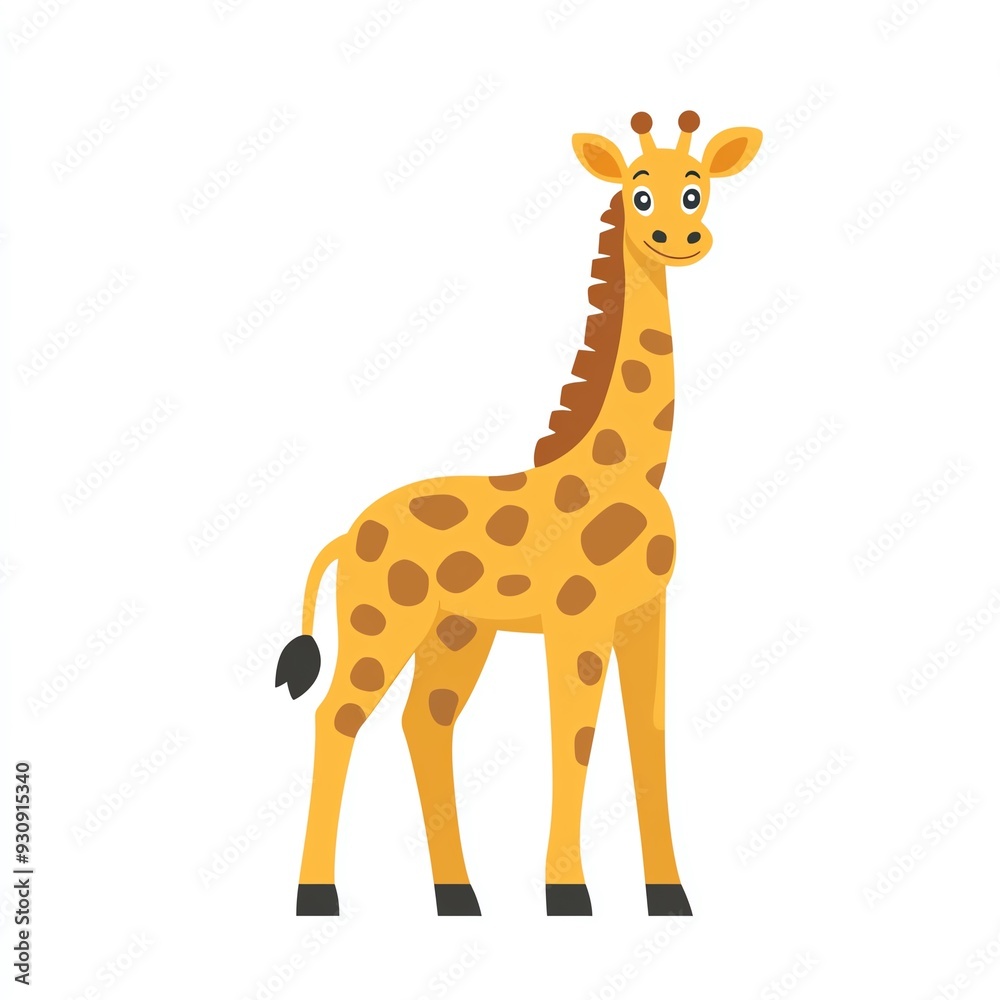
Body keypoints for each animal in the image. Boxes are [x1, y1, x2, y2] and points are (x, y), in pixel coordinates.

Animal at [277, 109, 762, 917]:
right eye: (640, 193)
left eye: (695, 189)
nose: (682, 238)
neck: (633, 466)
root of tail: (347, 534)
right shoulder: (576, 620)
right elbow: (577, 740)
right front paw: (568, 894)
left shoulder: (646, 614)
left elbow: (647, 740)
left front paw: (669, 894)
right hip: (383, 624)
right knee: (336, 716)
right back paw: (318, 895)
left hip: (457, 633)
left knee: (424, 724)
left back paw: (459, 896)